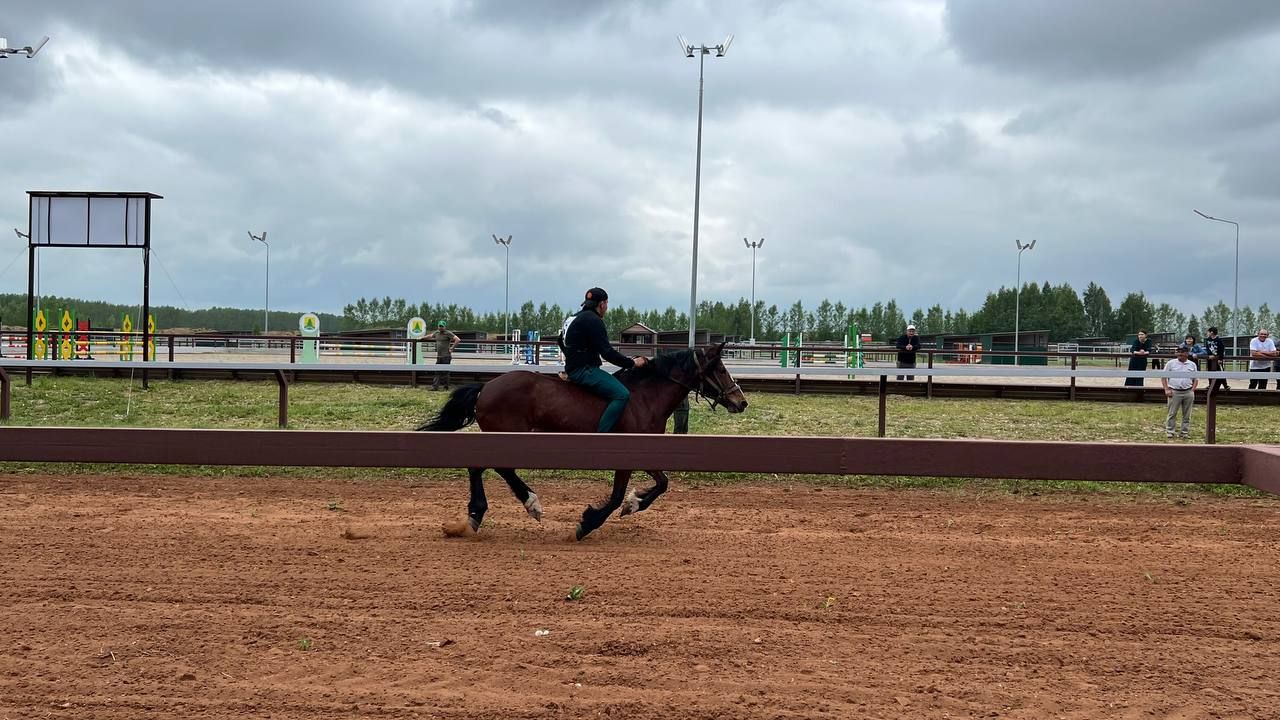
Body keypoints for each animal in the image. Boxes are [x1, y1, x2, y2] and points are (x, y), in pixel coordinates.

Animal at [414, 340, 747, 538]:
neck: (644, 397)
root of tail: (486, 387)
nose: (741, 401)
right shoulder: (629, 456)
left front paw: (633, 504)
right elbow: (620, 496)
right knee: (498, 469)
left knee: (478, 468)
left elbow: (662, 484)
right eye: (720, 368)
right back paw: (529, 503)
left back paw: (475, 516)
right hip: (506, 437)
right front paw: (589, 522)